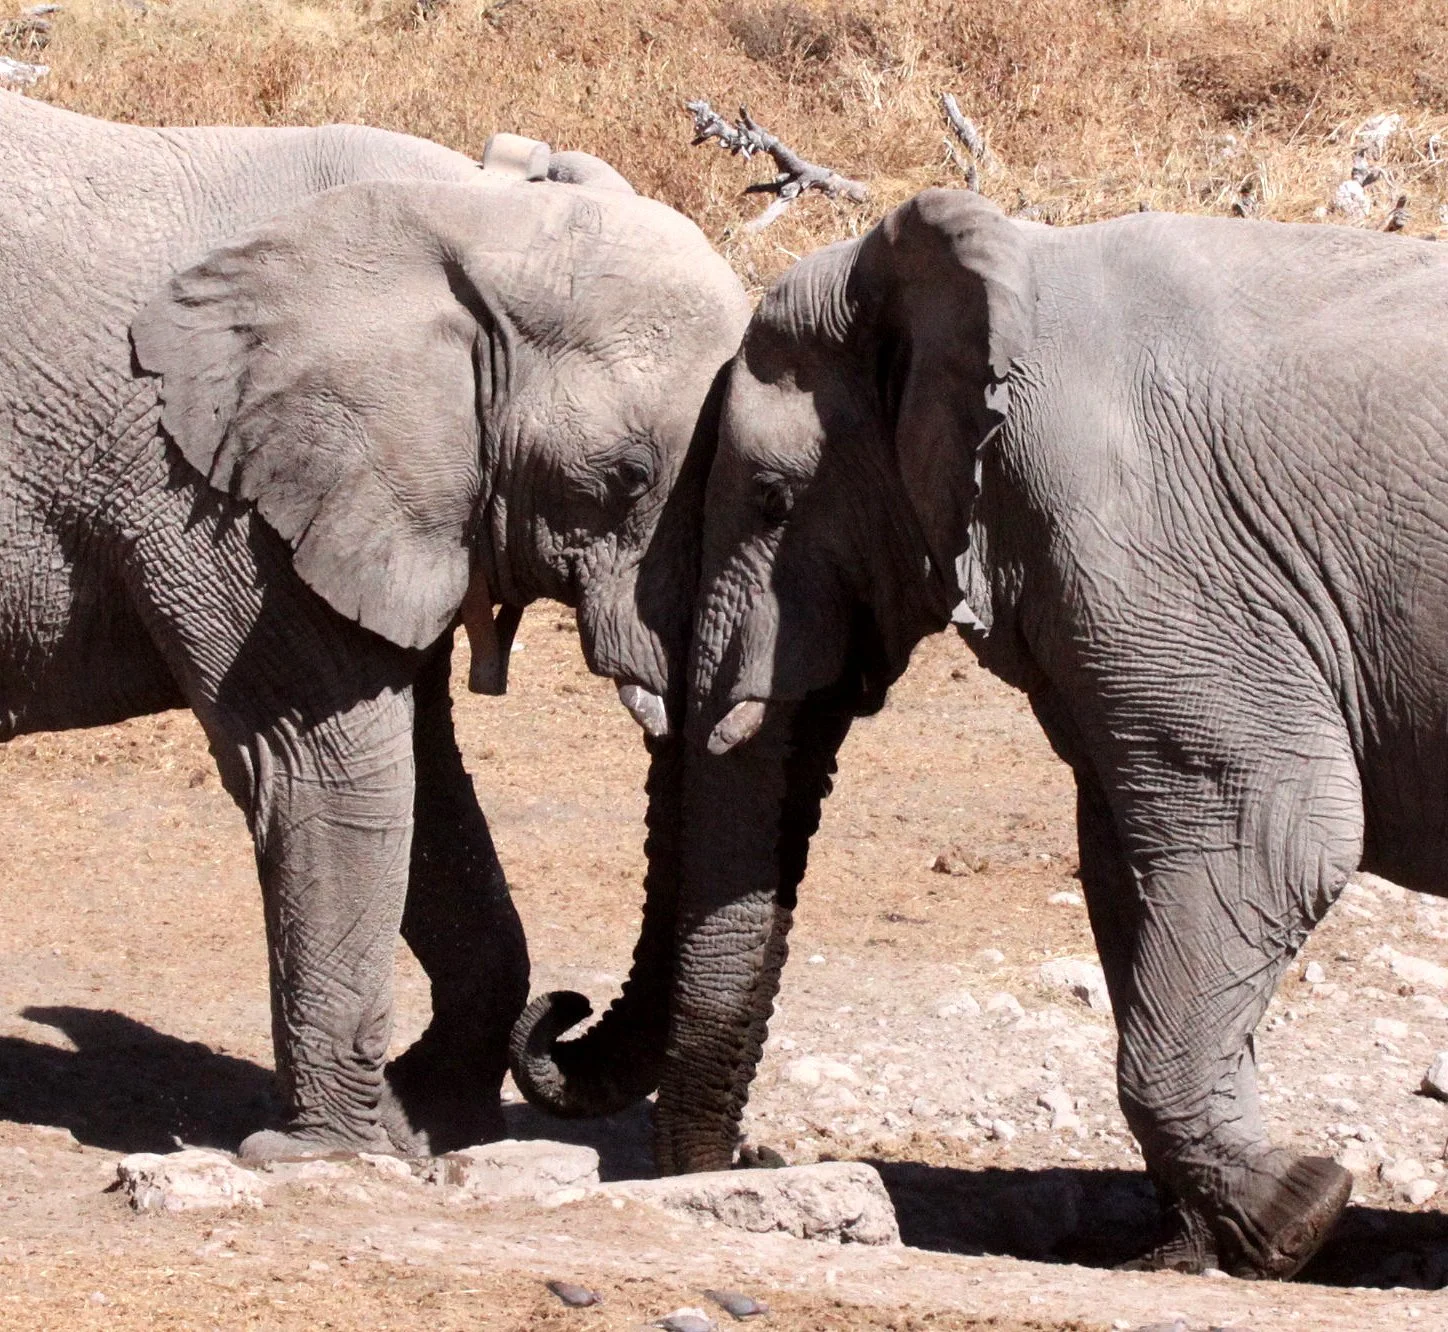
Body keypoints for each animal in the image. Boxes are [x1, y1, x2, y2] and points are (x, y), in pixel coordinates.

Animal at [0, 90, 750, 1162]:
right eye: (627, 477)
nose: (567, 1011)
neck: (471, 215)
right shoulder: (218, 491)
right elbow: (331, 771)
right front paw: (319, 1157)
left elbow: (426, 782)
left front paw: (426, 1123)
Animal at [515, 185, 1448, 1276]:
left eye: (773, 501)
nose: (560, 1005)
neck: (1003, 266)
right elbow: (1126, 868)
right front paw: (1196, 1250)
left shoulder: (1143, 542)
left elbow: (1275, 831)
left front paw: (1297, 1210)